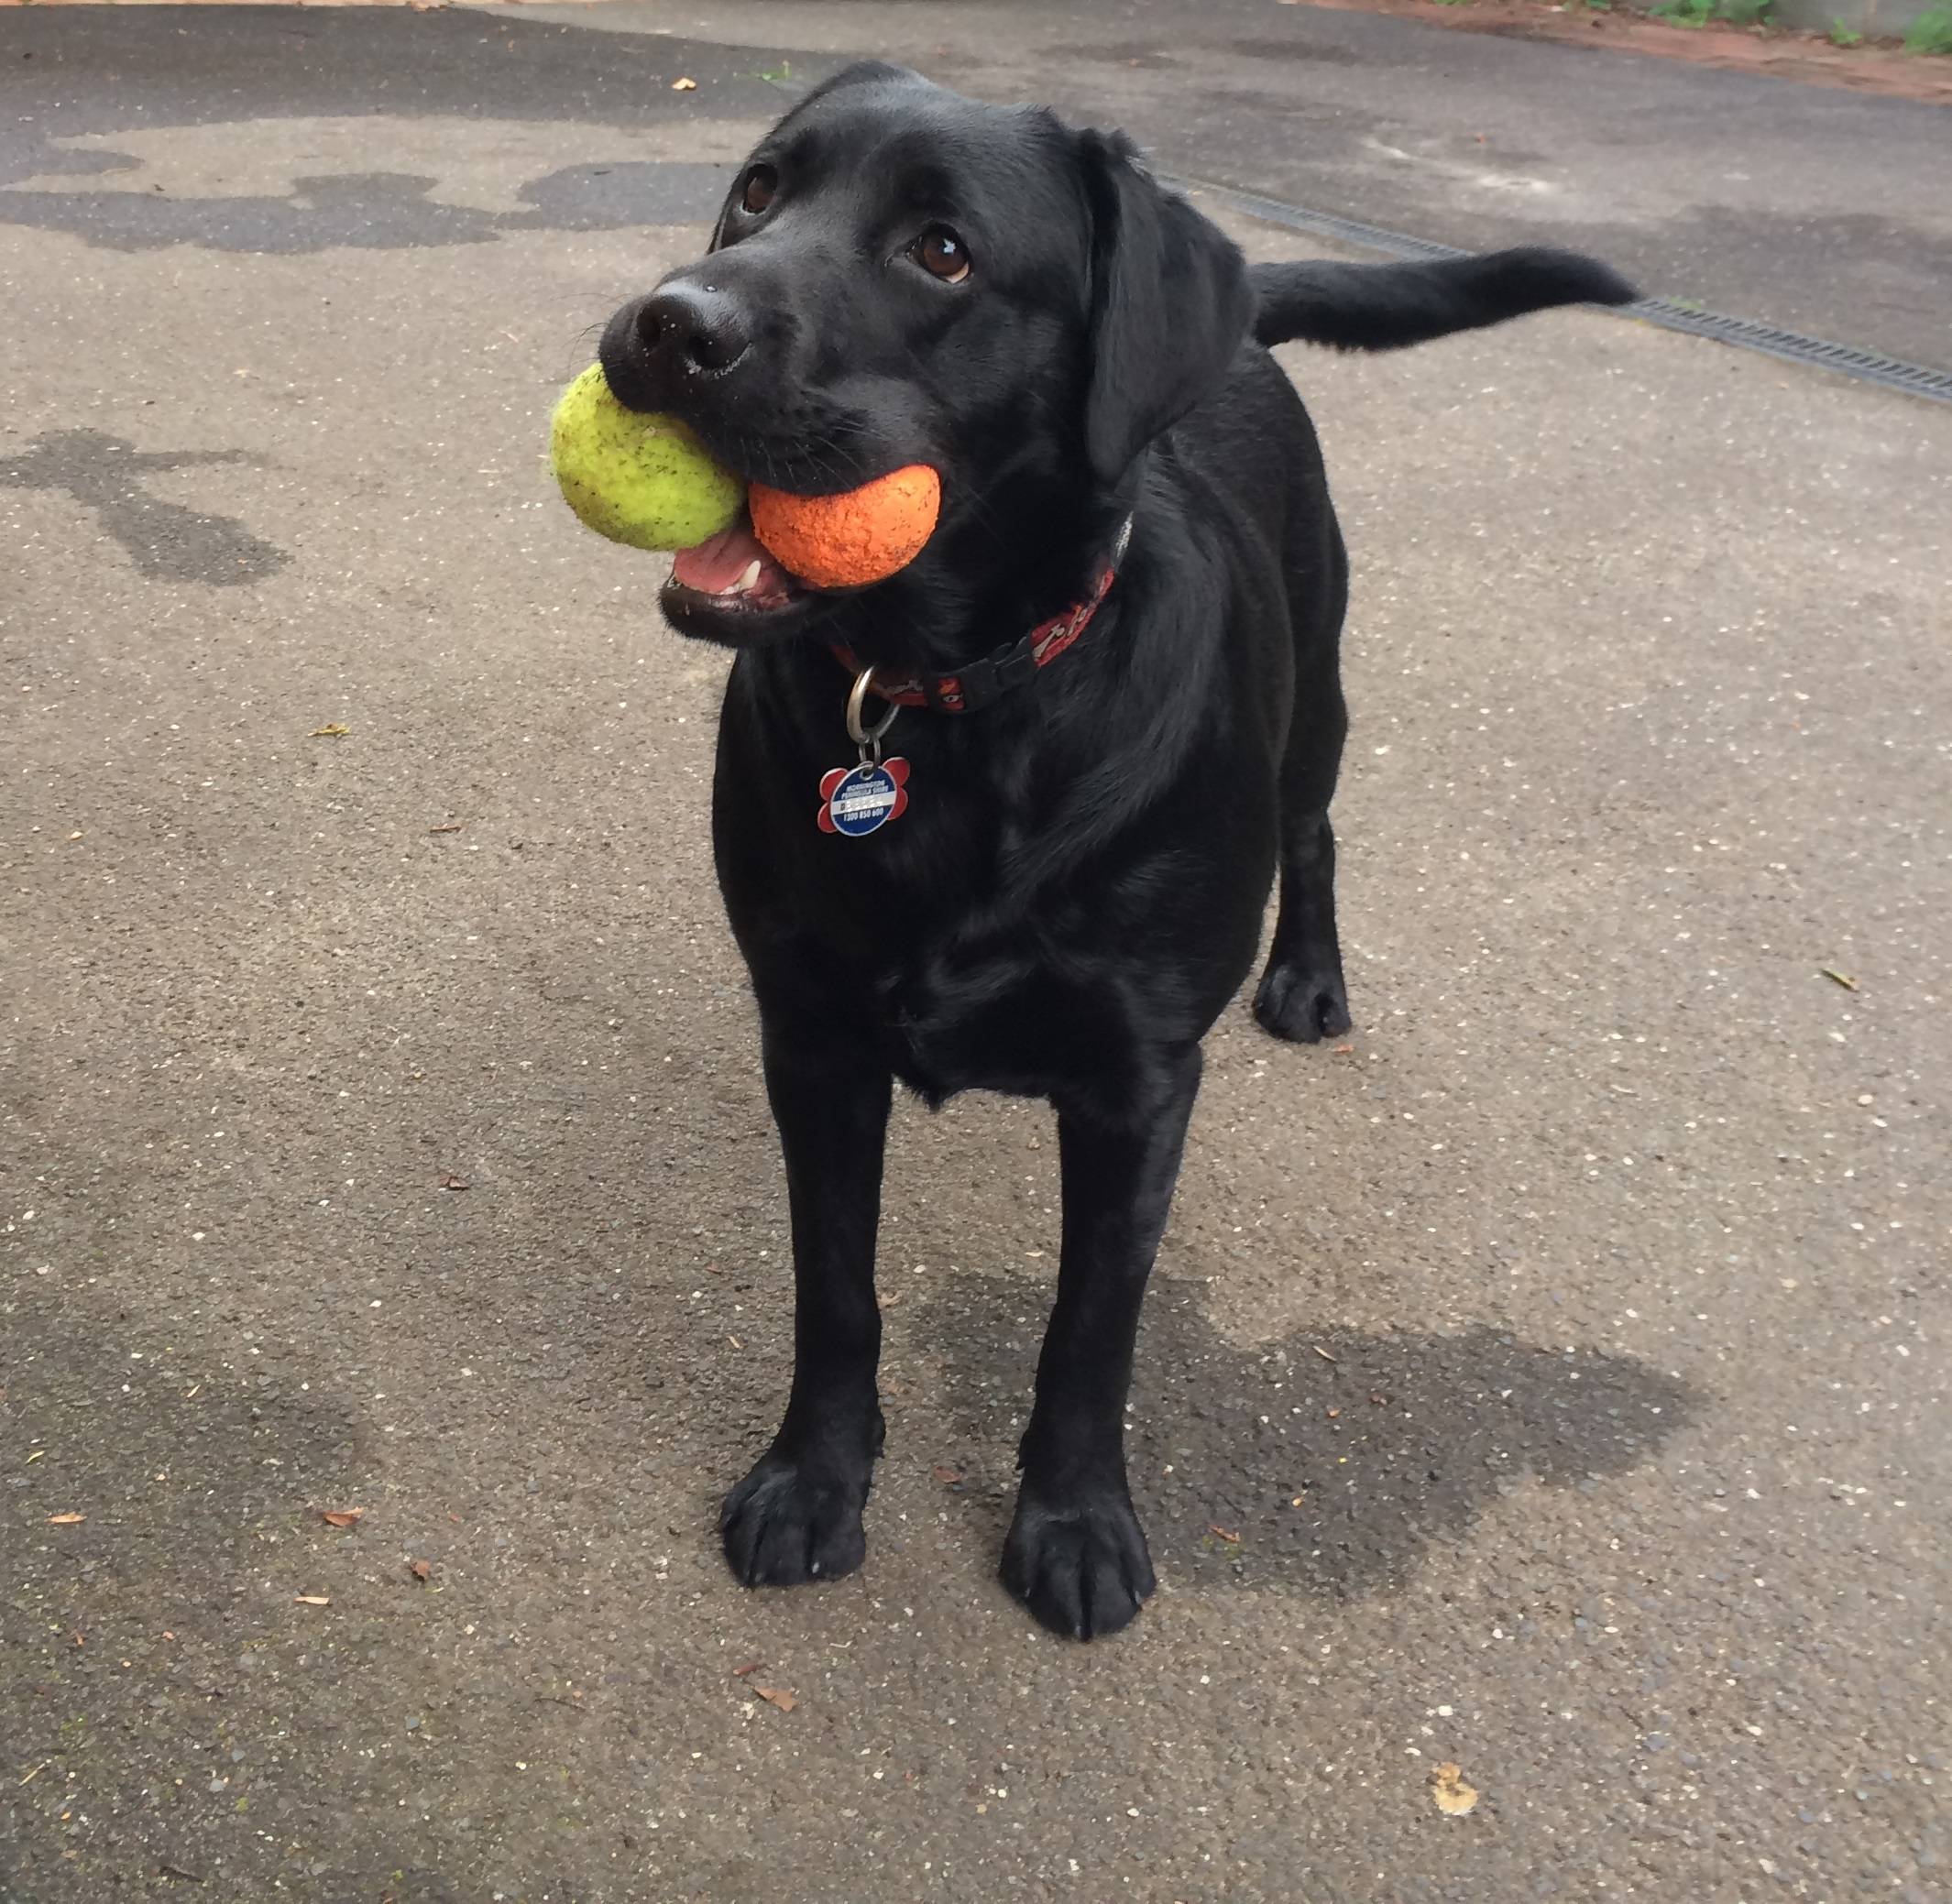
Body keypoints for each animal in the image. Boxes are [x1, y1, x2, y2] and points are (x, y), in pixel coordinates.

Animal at [593, 59, 1631, 1638]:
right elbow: (835, 1290)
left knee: (1320, 828)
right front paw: (815, 1478)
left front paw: (1074, 1522)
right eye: (759, 191)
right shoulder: (810, 1040)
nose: (671, 321)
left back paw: (1310, 978)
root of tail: (1239, 320)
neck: (947, 704)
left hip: (1319, 696)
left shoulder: (1139, 1088)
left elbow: (1089, 1329)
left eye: (941, 251)